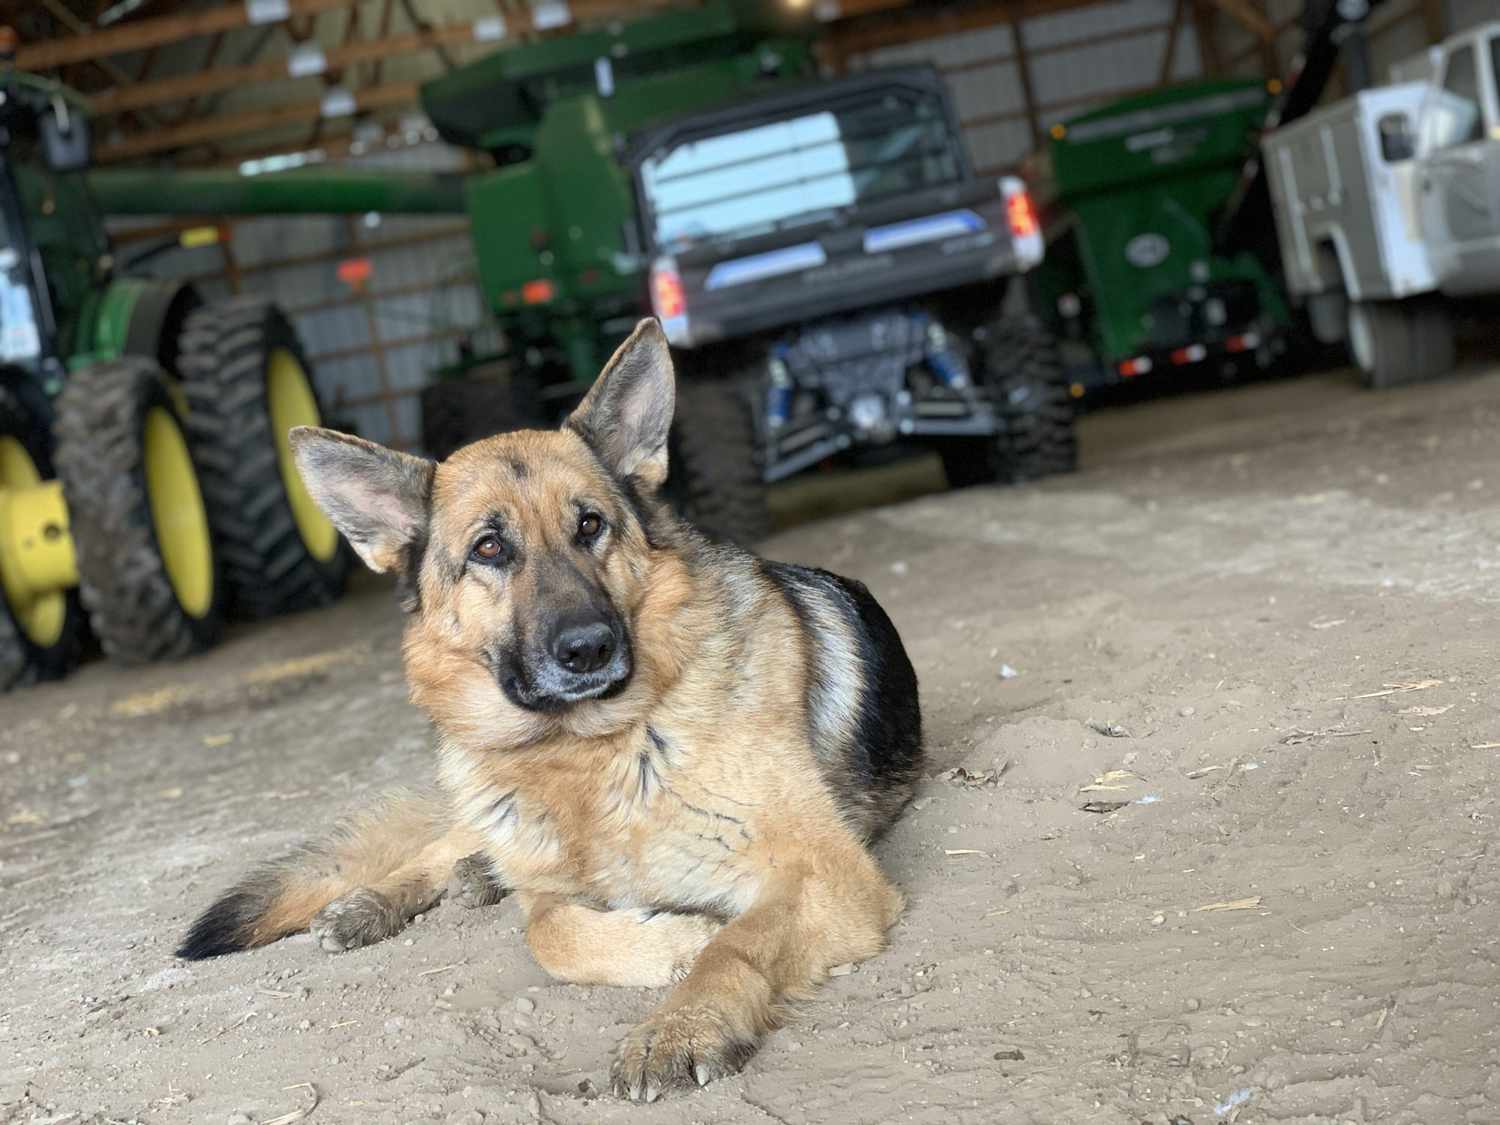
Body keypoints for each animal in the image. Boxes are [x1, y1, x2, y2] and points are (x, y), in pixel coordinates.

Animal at [180, 319, 918, 1104]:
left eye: (590, 525)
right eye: (489, 547)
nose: (589, 648)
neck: (590, 752)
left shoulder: (824, 874)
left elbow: (734, 944)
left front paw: (681, 1023)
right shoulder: (552, 895)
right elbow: (552, 935)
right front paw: (678, 940)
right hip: (481, 801)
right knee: (444, 843)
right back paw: (373, 900)